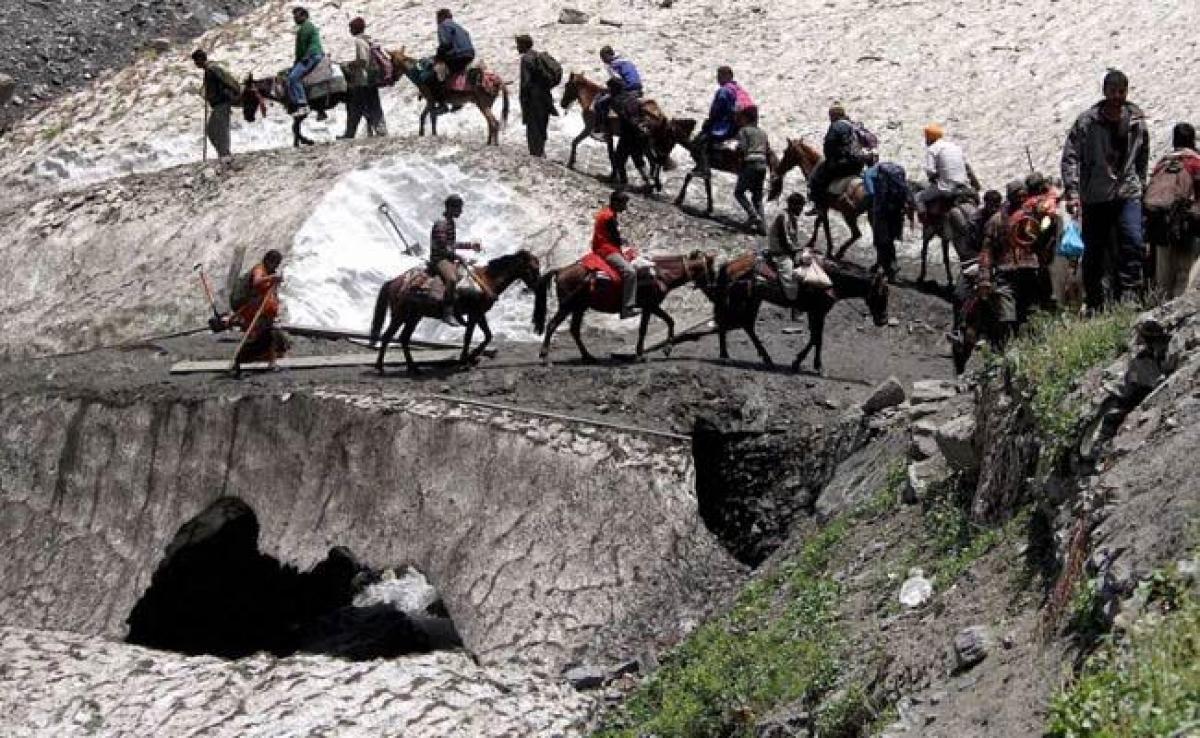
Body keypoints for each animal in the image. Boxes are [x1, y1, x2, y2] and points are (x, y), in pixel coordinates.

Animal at [367, 249, 542, 374]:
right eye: (533, 267)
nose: (537, 286)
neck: (487, 280)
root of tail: (394, 281)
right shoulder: (474, 313)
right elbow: (469, 337)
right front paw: (465, 361)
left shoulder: (479, 314)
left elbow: (487, 335)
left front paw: (471, 358)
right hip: (400, 315)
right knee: (387, 336)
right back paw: (380, 367)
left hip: (414, 317)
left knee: (403, 338)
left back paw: (412, 367)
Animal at [532, 250, 710, 364]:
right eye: (710, 268)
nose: (712, 285)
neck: (660, 274)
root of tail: (561, 270)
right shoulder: (650, 305)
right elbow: (650, 327)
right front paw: (646, 354)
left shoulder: (650, 306)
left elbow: (666, 322)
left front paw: (660, 350)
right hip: (567, 306)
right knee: (552, 325)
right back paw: (545, 358)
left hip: (579, 307)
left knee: (574, 330)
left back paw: (588, 356)